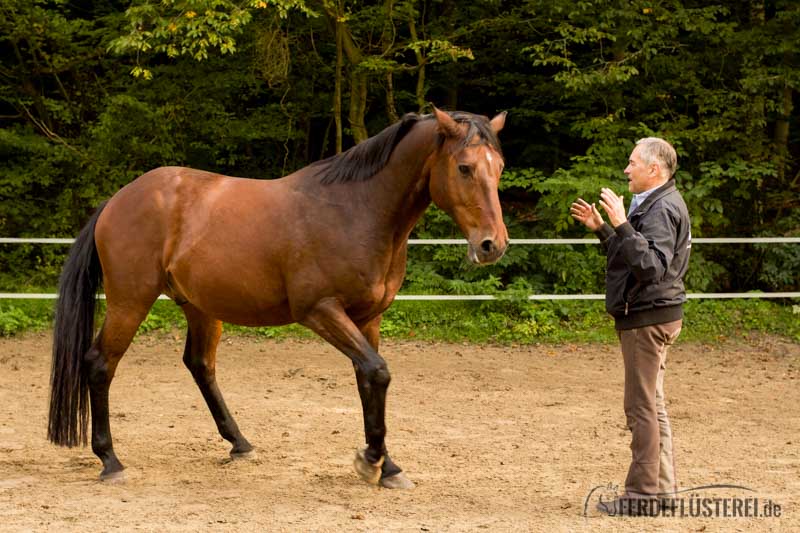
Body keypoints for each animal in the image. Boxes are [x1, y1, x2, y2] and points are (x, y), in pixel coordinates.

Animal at [48, 106, 506, 488]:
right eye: (464, 167)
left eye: (499, 167)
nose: (492, 245)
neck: (357, 209)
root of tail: (118, 200)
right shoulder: (320, 311)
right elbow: (377, 372)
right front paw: (371, 460)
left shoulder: (367, 319)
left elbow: (370, 379)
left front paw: (387, 466)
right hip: (130, 301)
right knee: (100, 364)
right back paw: (111, 461)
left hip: (199, 306)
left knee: (200, 365)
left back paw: (239, 443)